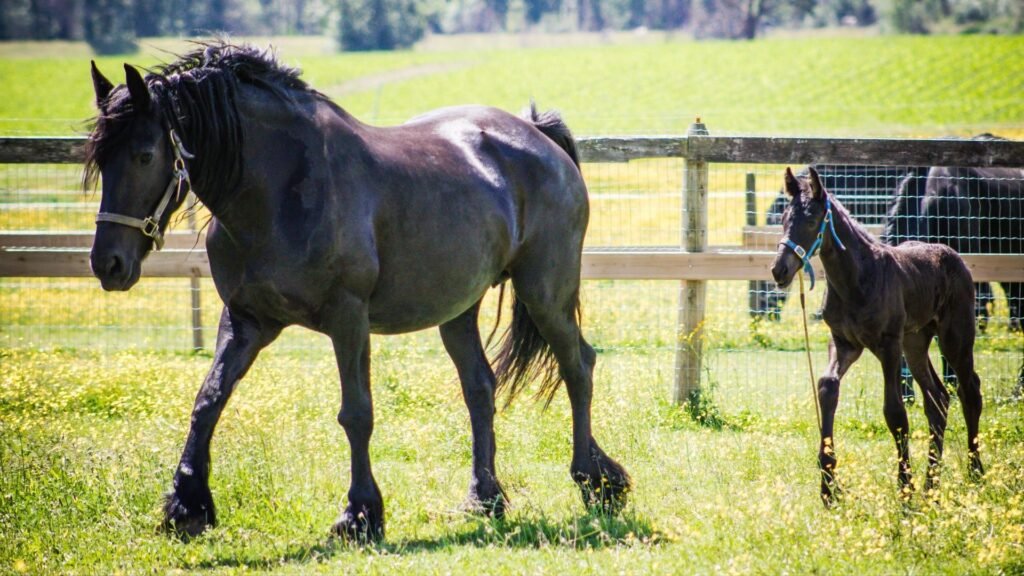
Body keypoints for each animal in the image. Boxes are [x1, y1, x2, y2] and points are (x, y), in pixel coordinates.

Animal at [86, 43, 630, 537]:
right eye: (98, 160)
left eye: (144, 155)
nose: (108, 264)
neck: (281, 189)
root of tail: (537, 133)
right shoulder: (246, 320)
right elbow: (209, 399)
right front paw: (187, 505)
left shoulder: (347, 319)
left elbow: (356, 413)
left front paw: (360, 515)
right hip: (458, 309)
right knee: (480, 387)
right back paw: (485, 498)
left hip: (545, 293)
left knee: (578, 366)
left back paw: (596, 481)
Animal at [770, 165, 978, 502]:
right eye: (784, 219)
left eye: (812, 221)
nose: (779, 270)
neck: (855, 280)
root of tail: (953, 255)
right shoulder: (844, 343)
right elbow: (827, 387)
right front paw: (829, 486)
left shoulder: (888, 345)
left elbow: (894, 412)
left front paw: (904, 488)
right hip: (915, 342)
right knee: (937, 399)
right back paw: (931, 485)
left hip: (954, 336)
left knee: (969, 390)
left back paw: (975, 473)